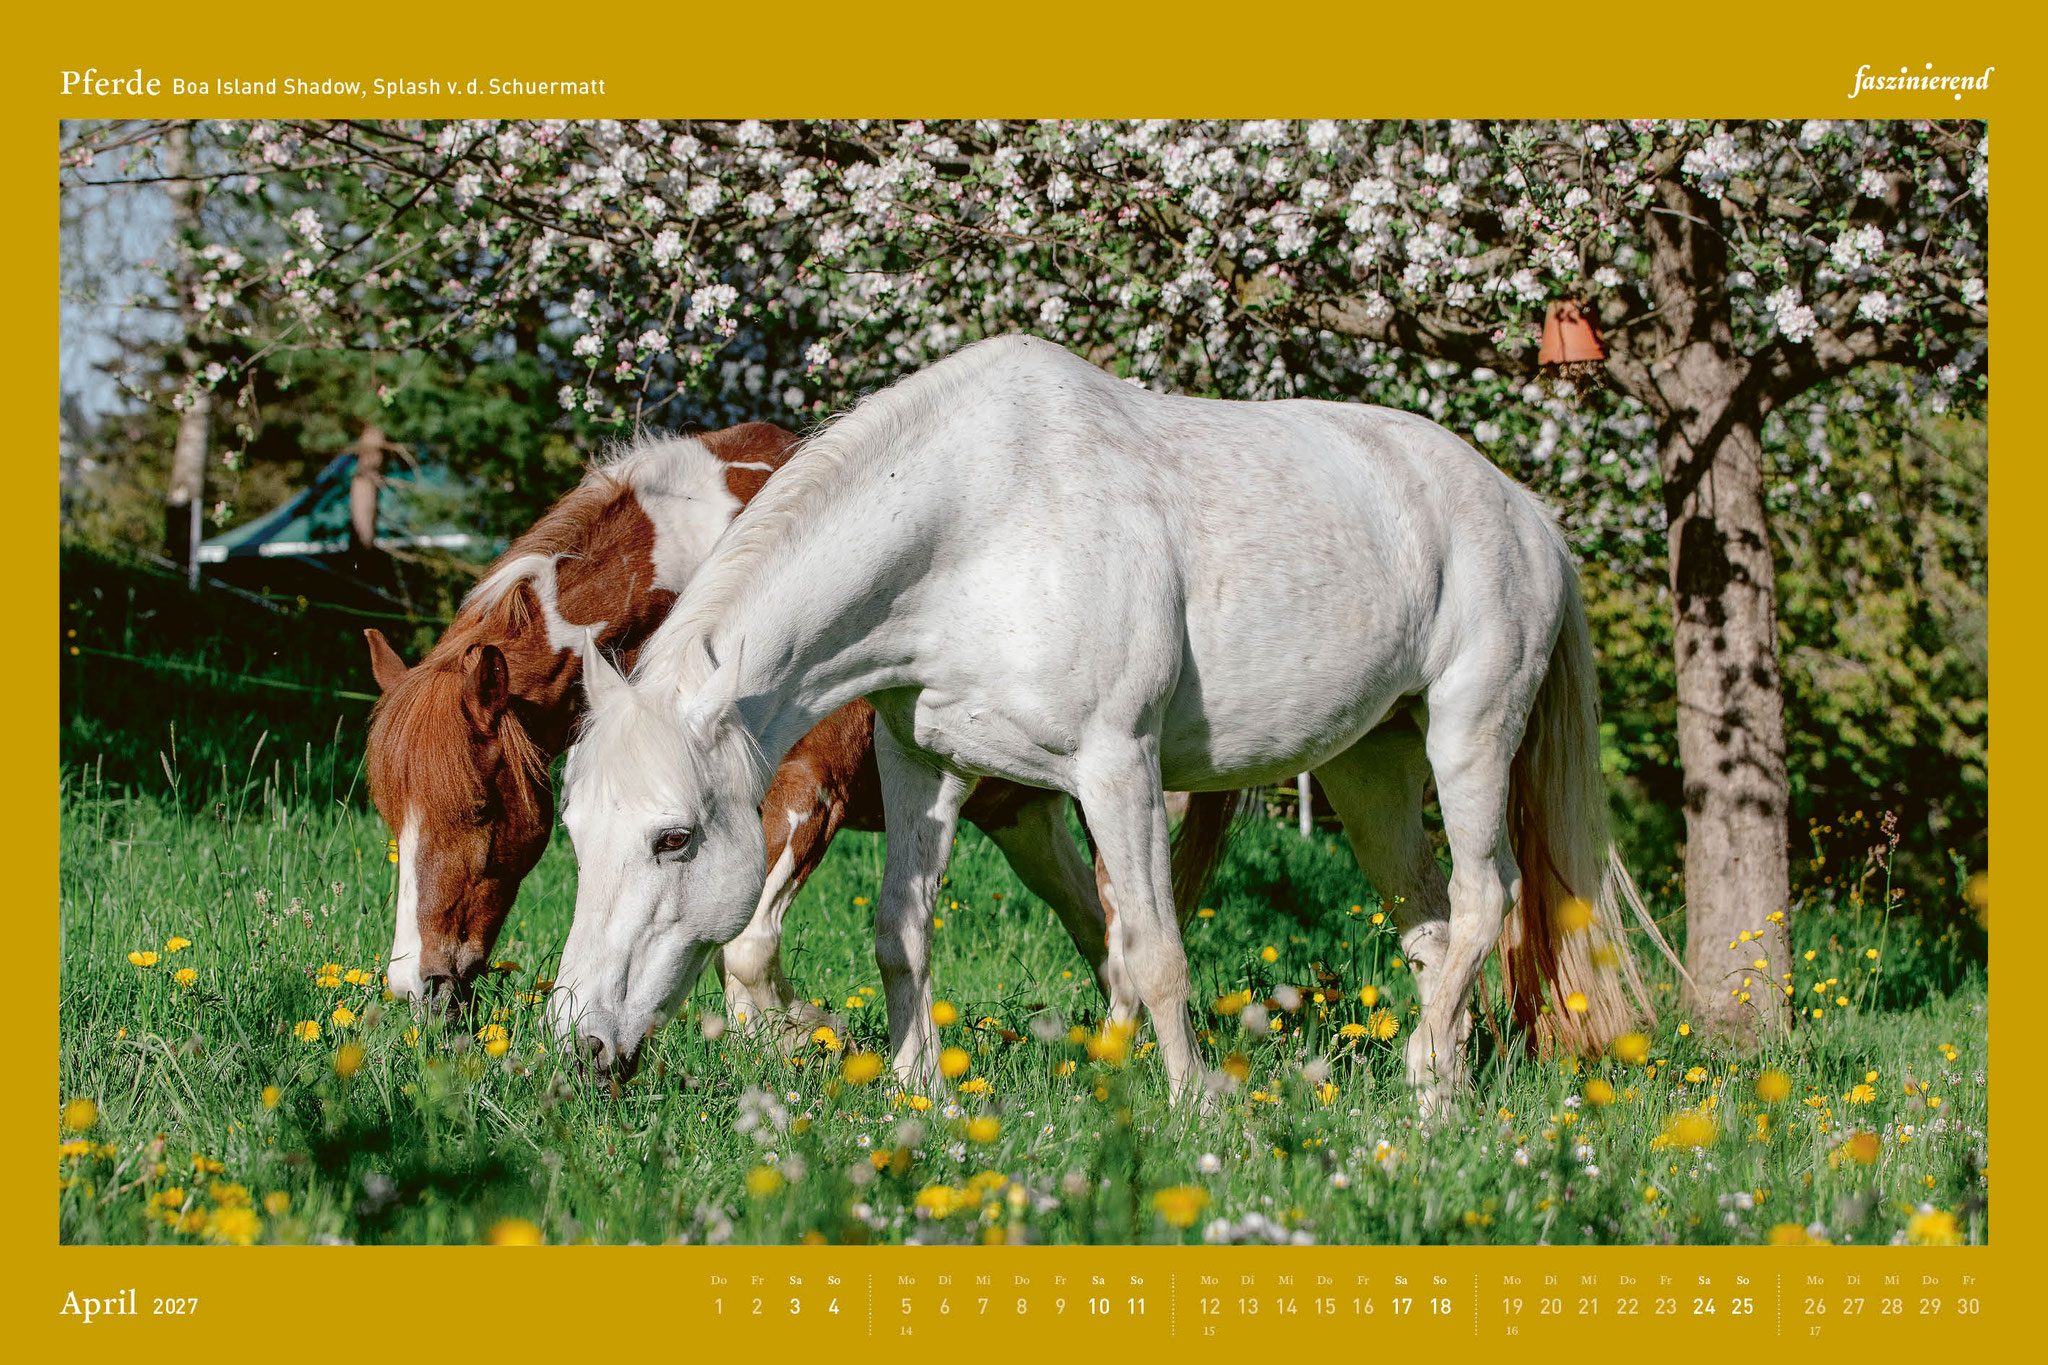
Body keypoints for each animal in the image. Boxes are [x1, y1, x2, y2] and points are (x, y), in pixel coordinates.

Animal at [362, 421, 1231, 1040]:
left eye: (478, 807)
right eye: (390, 815)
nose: (413, 984)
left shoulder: (805, 795)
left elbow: (746, 947)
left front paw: (807, 1030)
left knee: (1123, 917)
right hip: (1018, 808)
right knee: (1095, 925)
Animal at [551, 335, 1662, 1112]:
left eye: (673, 838)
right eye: (576, 836)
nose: (578, 1042)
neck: (975, 524)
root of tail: (1521, 508)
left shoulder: (1117, 766)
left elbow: (1154, 948)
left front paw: (1193, 1103)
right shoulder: (921, 765)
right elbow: (901, 933)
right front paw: (920, 1091)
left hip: (1467, 729)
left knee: (1486, 897)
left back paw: (1427, 1071)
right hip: (1369, 767)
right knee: (1431, 925)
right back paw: (1441, 1093)